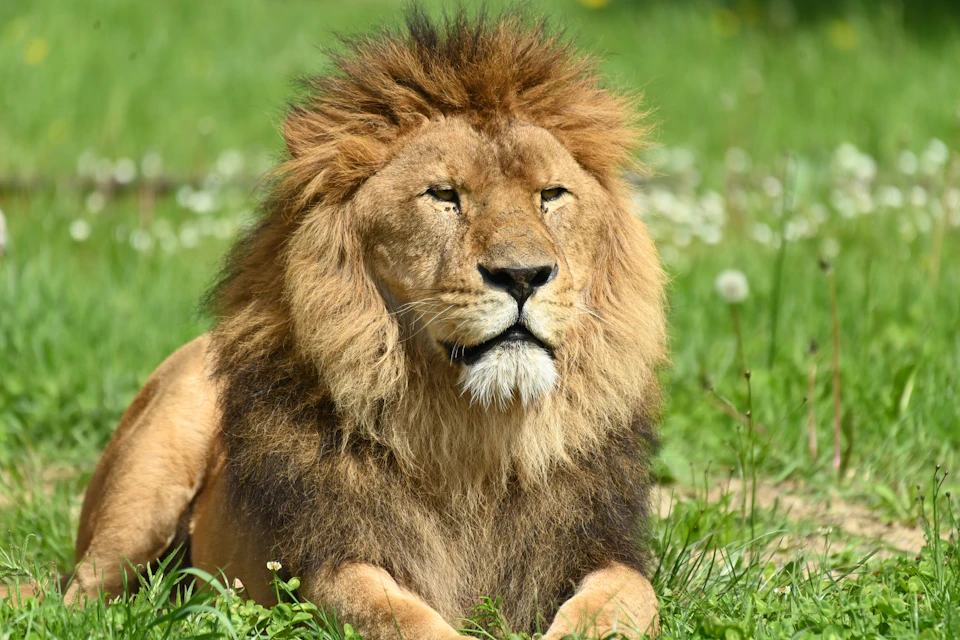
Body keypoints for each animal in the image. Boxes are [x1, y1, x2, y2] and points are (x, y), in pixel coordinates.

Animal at [64, 8, 666, 639]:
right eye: (444, 195)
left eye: (551, 194)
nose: (523, 276)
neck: (476, 440)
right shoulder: (328, 567)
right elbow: (402, 618)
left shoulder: (599, 549)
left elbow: (626, 596)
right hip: (144, 487)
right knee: (81, 594)